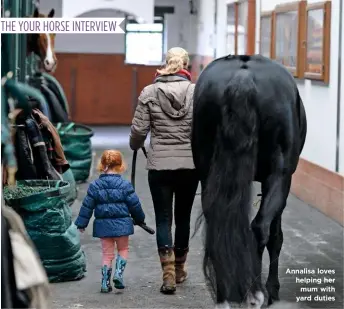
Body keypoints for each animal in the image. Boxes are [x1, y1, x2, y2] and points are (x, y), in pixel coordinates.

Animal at [192, 54, 308, 306]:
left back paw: (224, 294)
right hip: (279, 177)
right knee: (260, 228)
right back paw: (255, 294)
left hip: (206, 172)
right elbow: (276, 236)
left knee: (217, 227)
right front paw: (272, 290)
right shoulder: (280, 180)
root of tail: (242, 76)